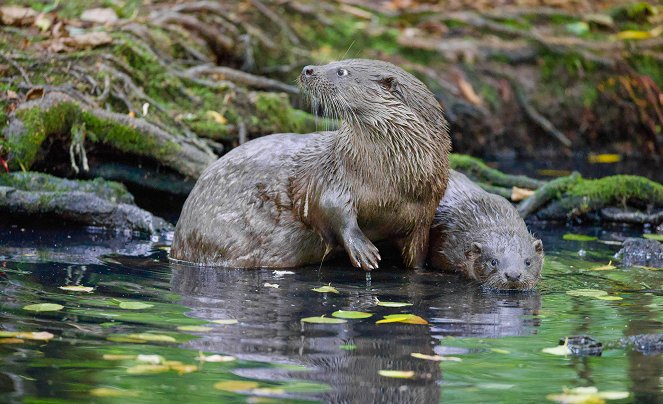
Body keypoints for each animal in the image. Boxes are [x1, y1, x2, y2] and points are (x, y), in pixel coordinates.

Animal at [171, 58, 452, 270]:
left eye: (341, 70)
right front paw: (363, 250)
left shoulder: (424, 215)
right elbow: (329, 207)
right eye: (334, 61)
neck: (388, 184)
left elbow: (416, 256)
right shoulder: (332, 176)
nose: (308, 69)